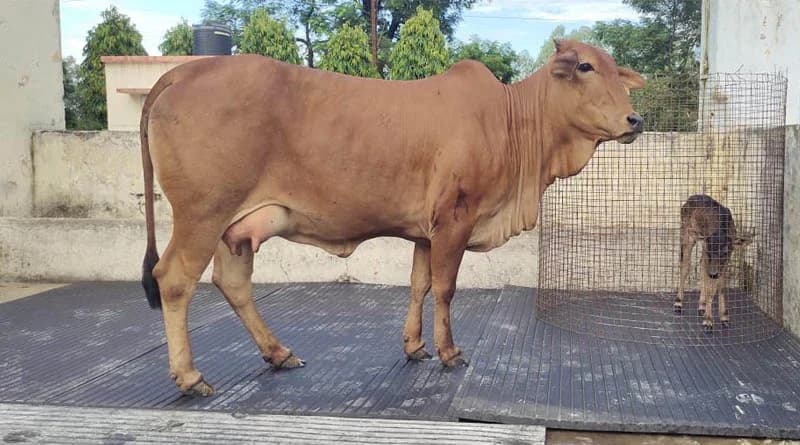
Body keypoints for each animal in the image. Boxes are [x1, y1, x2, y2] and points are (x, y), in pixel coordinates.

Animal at [140, 39, 646, 396]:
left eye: (617, 71)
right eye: (585, 67)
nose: (634, 120)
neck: (513, 125)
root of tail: (185, 69)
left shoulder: (426, 232)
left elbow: (419, 283)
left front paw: (415, 346)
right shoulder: (455, 221)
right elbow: (444, 288)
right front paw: (448, 351)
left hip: (236, 227)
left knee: (232, 282)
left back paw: (278, 353)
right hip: (203, 214)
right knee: (175, 280)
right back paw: (190, 376)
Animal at [675, 194, 751, 331]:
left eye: (725, 252)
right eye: (710, 251)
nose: (713, 273)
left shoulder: (726, 259)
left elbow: (721, 285)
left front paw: (724, 317)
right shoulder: (706, 252)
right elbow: (711, 287)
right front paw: (708, 321)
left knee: (700, 266)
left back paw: (702, 305)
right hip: (686, 232)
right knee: (685, 264)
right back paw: (678, 303)